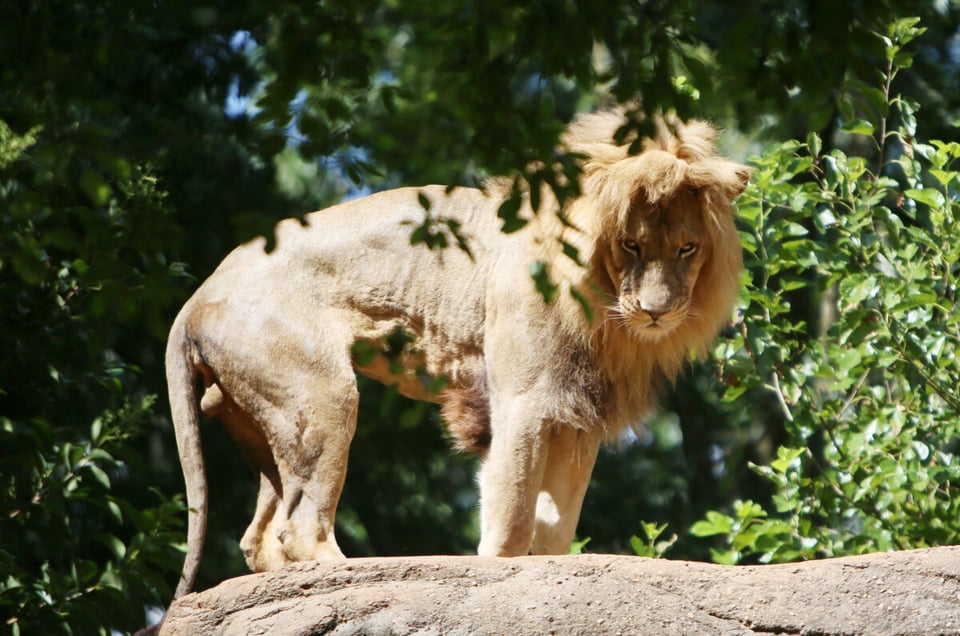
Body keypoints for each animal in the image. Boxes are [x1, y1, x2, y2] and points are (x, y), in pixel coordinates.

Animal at [165, 108, 750, 597]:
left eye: (687, 249)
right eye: (631, 245)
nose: (656, 312)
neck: (603, 310)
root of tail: (198, 293)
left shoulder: (578, 416)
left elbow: (556, 521)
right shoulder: (522, 402)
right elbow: (513, 511)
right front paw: (497, 569)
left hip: (264, 421)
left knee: (260, 535)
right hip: (323, 397)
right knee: (299, 526)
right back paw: (352, 573)